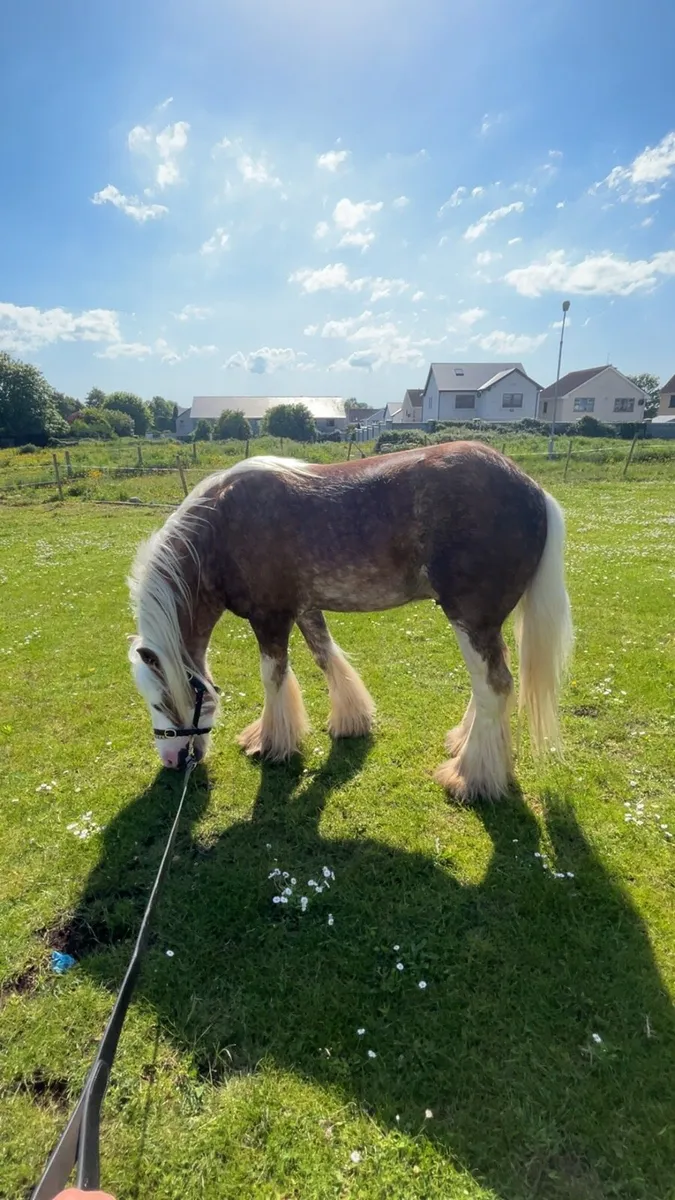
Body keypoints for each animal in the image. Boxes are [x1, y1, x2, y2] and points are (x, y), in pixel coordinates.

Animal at [128, 442, 573, 801]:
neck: (220, 529)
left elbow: (273, 677)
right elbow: (326, 657)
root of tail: (532, 488)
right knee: (491, 684)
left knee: (494, 686)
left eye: (159, 701)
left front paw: (270, 742)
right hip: (484, 624)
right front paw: (351, 720)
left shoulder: (270, 617)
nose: (171, 761)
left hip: (471, 619)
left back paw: (470, 777)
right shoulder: (305, 608)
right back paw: (463, 742)